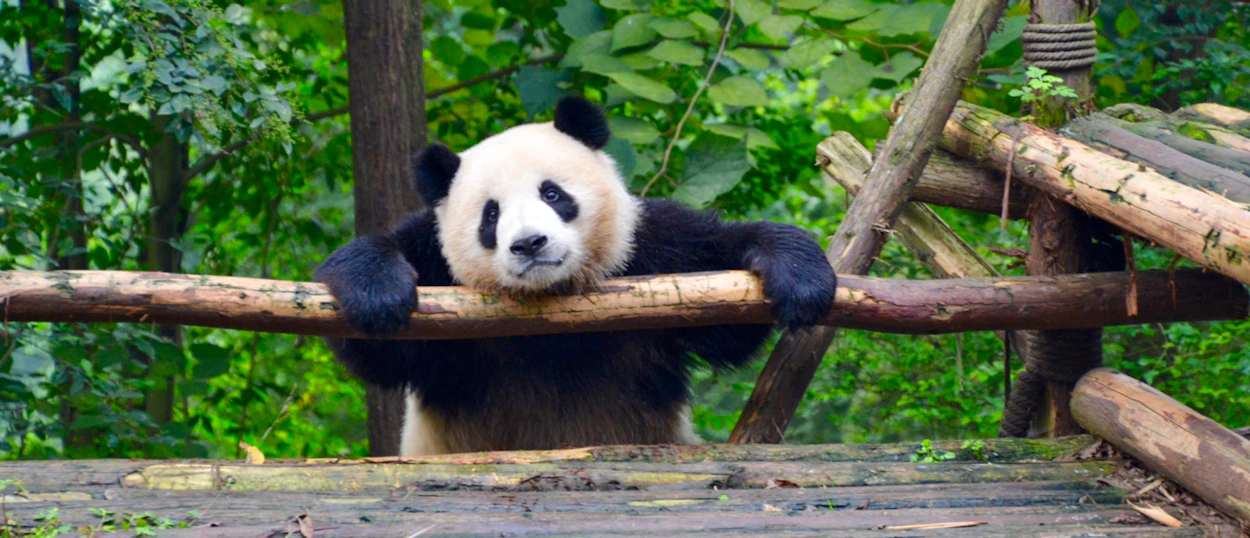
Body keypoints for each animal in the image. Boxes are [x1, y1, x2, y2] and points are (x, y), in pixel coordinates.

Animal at [315, 96, 837, 456]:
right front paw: (377, 292)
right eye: (490, 215)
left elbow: (724, 311)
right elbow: (380, 348)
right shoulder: (437, 272)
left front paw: (798, 273)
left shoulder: (649, 251)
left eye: (552, 193)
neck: (551, 299)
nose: (529, 244)